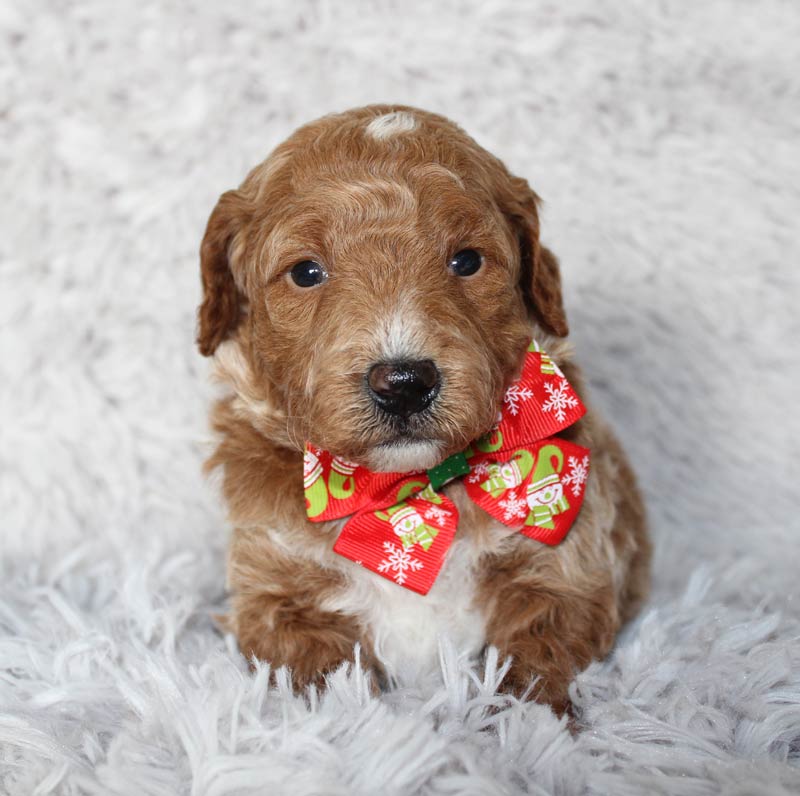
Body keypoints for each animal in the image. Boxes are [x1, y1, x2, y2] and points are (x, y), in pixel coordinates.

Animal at [198, 104, 648, 708]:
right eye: (306, 272)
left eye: (467, 261)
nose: (405, 382)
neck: (406, 493)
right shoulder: (275, 588)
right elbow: (316, 675)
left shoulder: (567, 566)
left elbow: (537, 660)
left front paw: (523, 720)